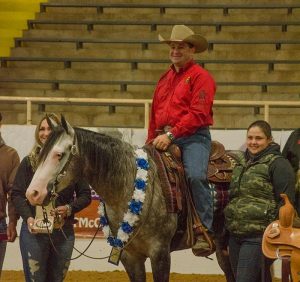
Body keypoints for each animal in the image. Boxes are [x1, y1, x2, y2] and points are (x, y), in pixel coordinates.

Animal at [25, 117, 234, 282]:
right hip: (223, 248)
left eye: (59, 154)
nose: (33, 193)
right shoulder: (129, 256)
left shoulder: (160, 254)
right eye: (41, 152)